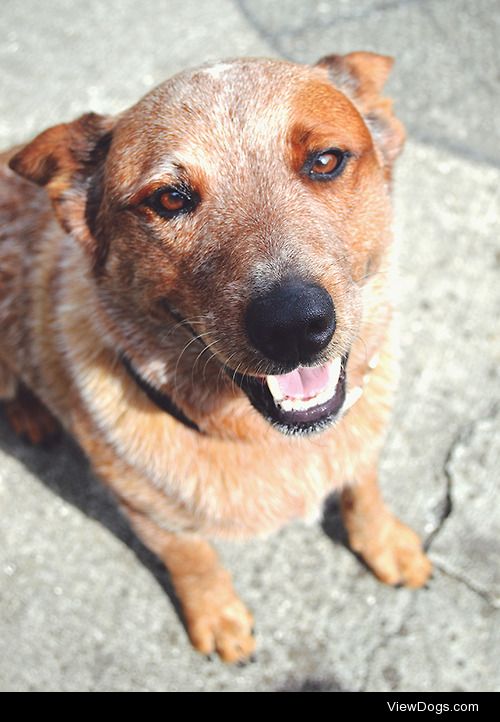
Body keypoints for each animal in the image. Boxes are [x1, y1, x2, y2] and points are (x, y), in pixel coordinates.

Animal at [0, 53, 430, 664]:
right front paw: (216, 615)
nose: (294, 326)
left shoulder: (357, 433)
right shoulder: (148, 513)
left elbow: (363, 487)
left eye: (325, 160)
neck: (270, 442)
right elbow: (194, 559)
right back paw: (31, 414)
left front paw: (384, 541)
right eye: (169, 199)